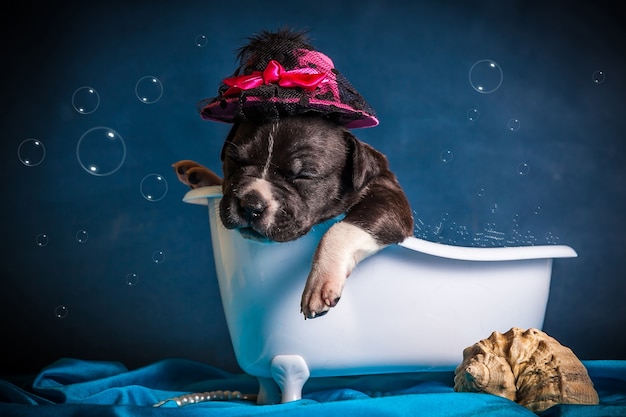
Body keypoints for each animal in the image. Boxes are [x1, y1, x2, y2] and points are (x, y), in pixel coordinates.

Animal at [173, 114, 412, 318]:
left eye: (303, 176)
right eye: (235, 161)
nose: (251, 205)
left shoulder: (388, 201)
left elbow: (340, 229)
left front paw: (321, 280)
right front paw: (202, 174)